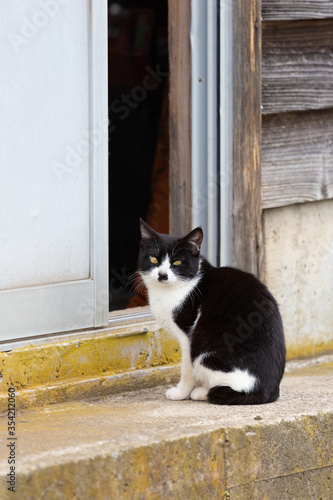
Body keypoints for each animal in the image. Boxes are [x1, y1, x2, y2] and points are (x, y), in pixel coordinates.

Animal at [137, 220, 286, 406]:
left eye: (177, 262)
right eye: (153, 259)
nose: (162, 275)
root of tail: (267, 391)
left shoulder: (187, 335)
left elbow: (186, 368)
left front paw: (181, 393)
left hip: (204, 349)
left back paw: (200, 392)